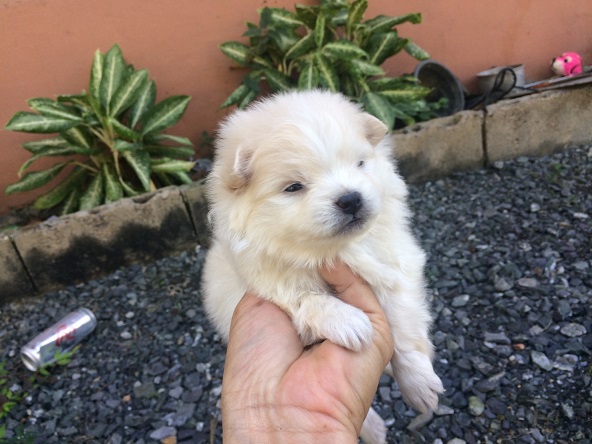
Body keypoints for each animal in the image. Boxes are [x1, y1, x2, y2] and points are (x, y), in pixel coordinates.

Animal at [202, 90, 444, 443]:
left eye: (359, 164)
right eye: (294, 187)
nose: (351, 198)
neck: (332, 250)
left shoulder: (397, 264)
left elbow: (402, 324)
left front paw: (419, 385)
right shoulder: (265, 278)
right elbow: (305, 297)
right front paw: (348, 322)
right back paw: (373, 428)